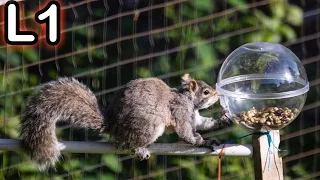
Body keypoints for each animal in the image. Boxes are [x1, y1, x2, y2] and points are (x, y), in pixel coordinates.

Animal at [20, 73, 229, 170]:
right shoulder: (180, 112)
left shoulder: (195, 116)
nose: (218, 95)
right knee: (125, 143)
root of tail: (112, 125)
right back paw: (138, 148)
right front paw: (202, 141)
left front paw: (222, 121)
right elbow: (186, 132)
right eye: (206, 92)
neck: (188, 101)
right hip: (149, 126)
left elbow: (203, 123)